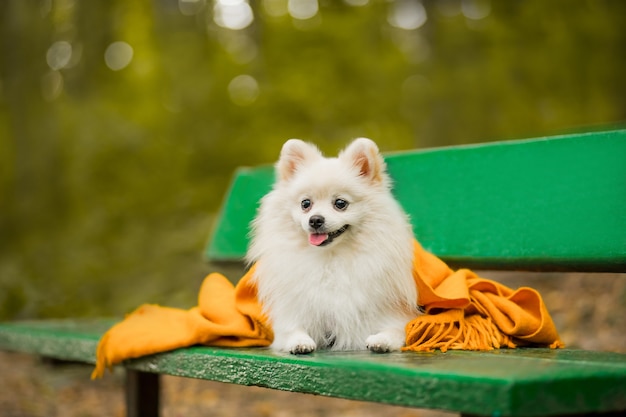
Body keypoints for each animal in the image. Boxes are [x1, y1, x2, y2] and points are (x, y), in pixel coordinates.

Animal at [246, 138, 416, 352]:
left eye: (340, 203)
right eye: (305, 204)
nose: (315, 220)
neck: (330, 258)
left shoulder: (389, 313)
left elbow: (396, 330)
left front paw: (381, 340)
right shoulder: (293, 315)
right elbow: (292, 330)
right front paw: (300, 342)